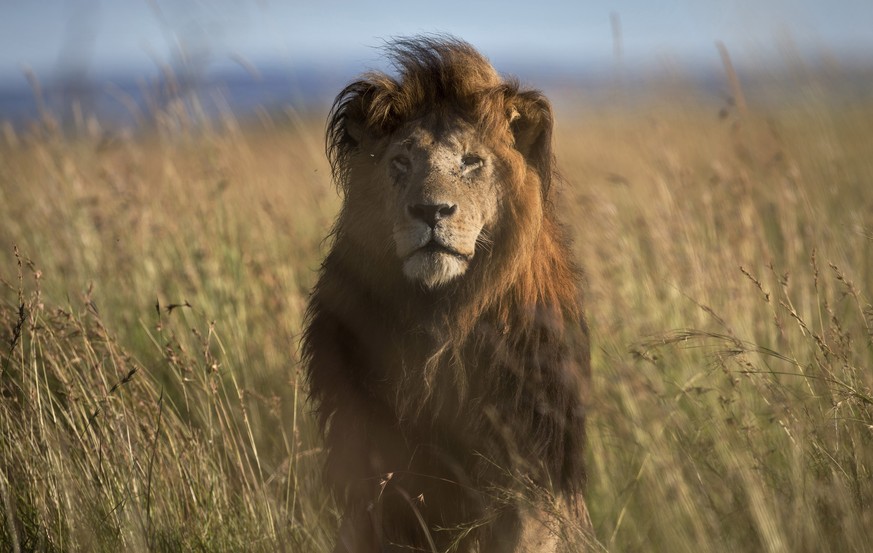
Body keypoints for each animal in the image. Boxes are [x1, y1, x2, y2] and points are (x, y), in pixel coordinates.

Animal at [300, 36, 592, 548]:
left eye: (470, 162)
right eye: (401, 162)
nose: (430, 210)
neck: (440, 319)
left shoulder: (530, 469)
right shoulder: (375, 471)